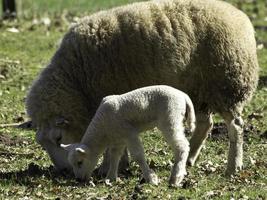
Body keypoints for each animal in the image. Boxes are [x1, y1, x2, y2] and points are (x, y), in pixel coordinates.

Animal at [25, 0, 260, 176]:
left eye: (58, 138)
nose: (64, 171)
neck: (76, 79)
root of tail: (239, 16)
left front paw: (108, 167)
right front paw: (119, 165)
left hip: (227, 85)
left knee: (236, 127)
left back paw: (233, 166)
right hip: (198, 91)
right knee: (205, 125)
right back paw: (190, 158)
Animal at [60, 85, 197, 187]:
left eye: (80, 162)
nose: (78, 180)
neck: (103, 129)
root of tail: (183, 95)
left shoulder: (129, 132)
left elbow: (138, 156)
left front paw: (151, 179)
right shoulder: (119, 138)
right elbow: (115, 156)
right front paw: (110, 178)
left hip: (171, 117)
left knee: (182, 146)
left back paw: (175, 177)